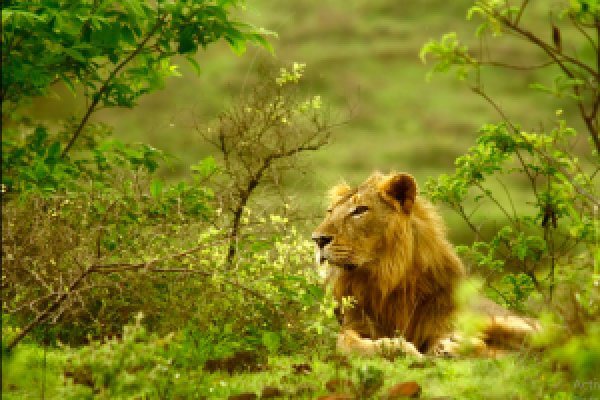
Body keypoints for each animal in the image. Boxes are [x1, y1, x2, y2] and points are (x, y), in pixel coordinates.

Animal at [312, 171, 540, 356]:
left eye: (360, 210)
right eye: (330, 212)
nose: (317, 239)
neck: (385, 277)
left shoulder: (442, 321)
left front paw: (443, 348)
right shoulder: (354, 322)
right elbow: (345, 343)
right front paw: (398, 347)